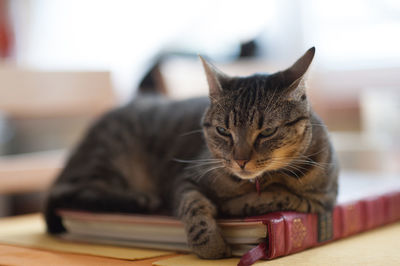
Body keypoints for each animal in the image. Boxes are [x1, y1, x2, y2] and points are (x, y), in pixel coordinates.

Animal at [44, 46, 338, 258]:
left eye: (267, 132)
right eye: (223, 131)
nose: (240, 160)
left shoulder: (322, 200)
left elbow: (282, 195)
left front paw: (238, 202)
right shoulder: (184, 179)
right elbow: (194, 206)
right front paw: (209, 243)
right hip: (108, 159)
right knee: (63, 194)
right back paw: (139, 200)